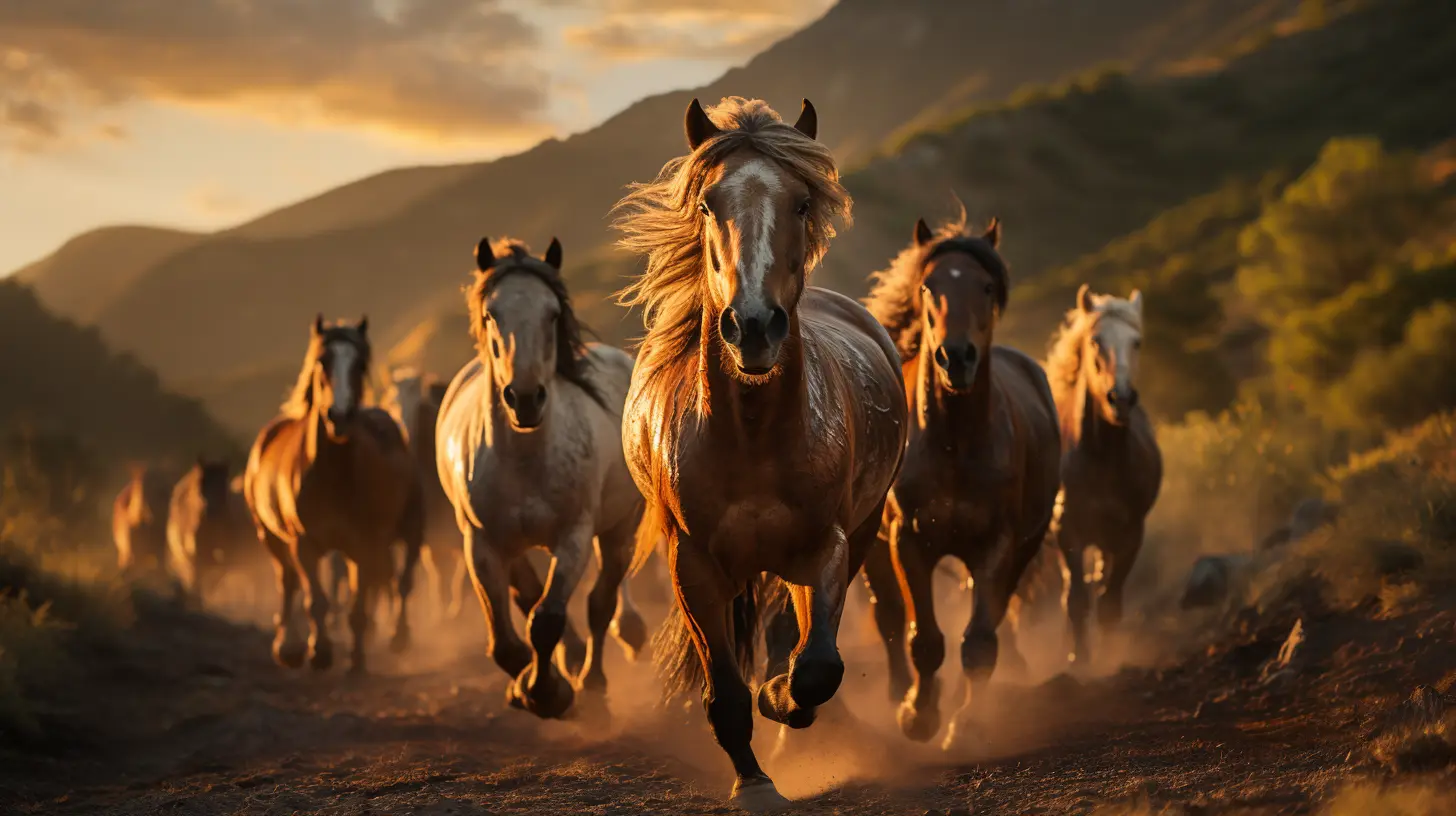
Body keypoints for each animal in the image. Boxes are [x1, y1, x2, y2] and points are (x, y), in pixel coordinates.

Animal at [244, 315, 424, 674]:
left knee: (403, 580)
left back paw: (398, 637)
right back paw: (288, 646)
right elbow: (316, 599)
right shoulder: (304, 543)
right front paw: (319, 652)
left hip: (409, 529)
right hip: (270, 537)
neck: (332, 475)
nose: (339, 416)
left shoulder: (364, 544)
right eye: (322, 361)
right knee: (287, 582)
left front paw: (356, 661)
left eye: (361, 364)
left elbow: (358, 605)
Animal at [436, 237, 648, 721]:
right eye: (492, 315)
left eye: (552, 314)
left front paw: (551, 693)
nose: (526, 398)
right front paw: (527, 686)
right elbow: (506, 641)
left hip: (618, 529)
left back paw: (592, 682)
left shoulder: (574, 536)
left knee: (600, 602)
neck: (525, 459)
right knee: (530, 596)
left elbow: (548, 619)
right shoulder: (481, 543)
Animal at [613, 96, 907, 811]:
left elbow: (817, 667)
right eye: (707, 203)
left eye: (801, 202)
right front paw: (752, 782)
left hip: (859, 532)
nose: (753, 327)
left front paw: (780, 698)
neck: (750, 436)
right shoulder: (694, 565)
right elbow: (724, 692)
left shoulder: (825, 547)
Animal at [863, 210, 1061, 751]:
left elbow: (980, 641)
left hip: (1022, 549)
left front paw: (965, 723)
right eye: (928, 286)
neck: (953, 442)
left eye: (987, 286)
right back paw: (897, 693)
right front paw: (918, 715)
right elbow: (924, 638)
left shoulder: (998, 545)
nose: (956, 357)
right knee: (889, 616)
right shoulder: (908, 541)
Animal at [1043, 285, 1162, 665]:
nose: (1120, 399)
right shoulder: (1068, 533)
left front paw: (1110, 660)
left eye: (1137, 341)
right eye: (1096, 341)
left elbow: (1109, 601)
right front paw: (1079, 660)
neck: (1103, 461)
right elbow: (1077, 601)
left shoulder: (1130, 535)